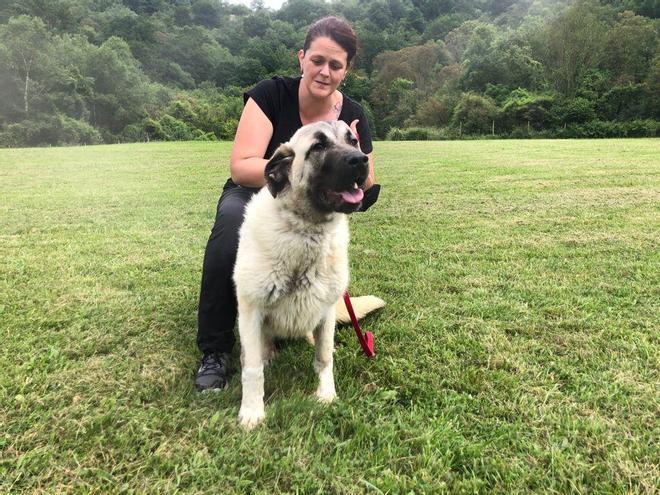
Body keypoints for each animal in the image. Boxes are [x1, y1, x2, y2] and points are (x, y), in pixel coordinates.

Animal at [235, 121, 372, 430]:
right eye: (318, 147)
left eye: (353, 140)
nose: (361, 160)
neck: (307, 229)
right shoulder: (250, 310)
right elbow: (252, 369)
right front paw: (252, 411)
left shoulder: (325, 310)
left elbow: (323, 357)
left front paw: (326, 395)